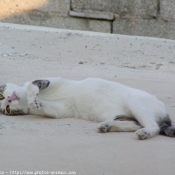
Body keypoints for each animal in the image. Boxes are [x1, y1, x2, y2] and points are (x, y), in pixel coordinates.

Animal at [0, 77, 174, 139]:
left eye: (1, 95)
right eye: (7, 109)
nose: (8, 99)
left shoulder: (52, 80)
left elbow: (31, 85)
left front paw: (32, 99)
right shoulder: (57, 110)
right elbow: (42, 107)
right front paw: (34, 102)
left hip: (135, 102)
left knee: (153, 126)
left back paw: (144, 133)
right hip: (123, 115)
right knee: (136, 124)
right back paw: (106, 126)